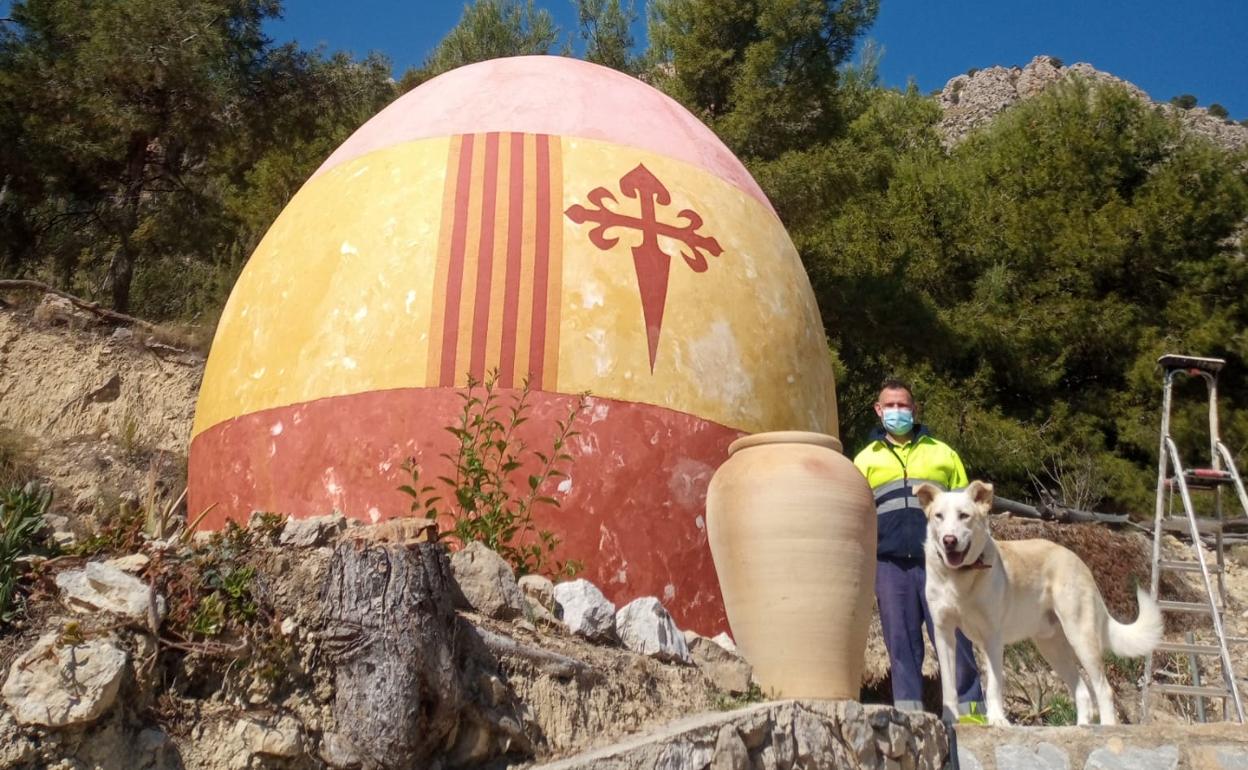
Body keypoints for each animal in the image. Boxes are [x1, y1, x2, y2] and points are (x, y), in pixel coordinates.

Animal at [913, 476, 1163, 723]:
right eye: (938, 516)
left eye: (964, 515)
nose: (949, 540)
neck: (959, 577)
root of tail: (1076, 559)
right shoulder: (944, 633)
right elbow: (948, 685)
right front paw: (949, 719)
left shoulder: (992, 636)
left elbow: (994, 684)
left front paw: (997, 720)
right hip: (1051, 647)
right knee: (1082, 691)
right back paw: (1081, 726)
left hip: (1080, 637)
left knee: (1103, 689)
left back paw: (1106, 726)